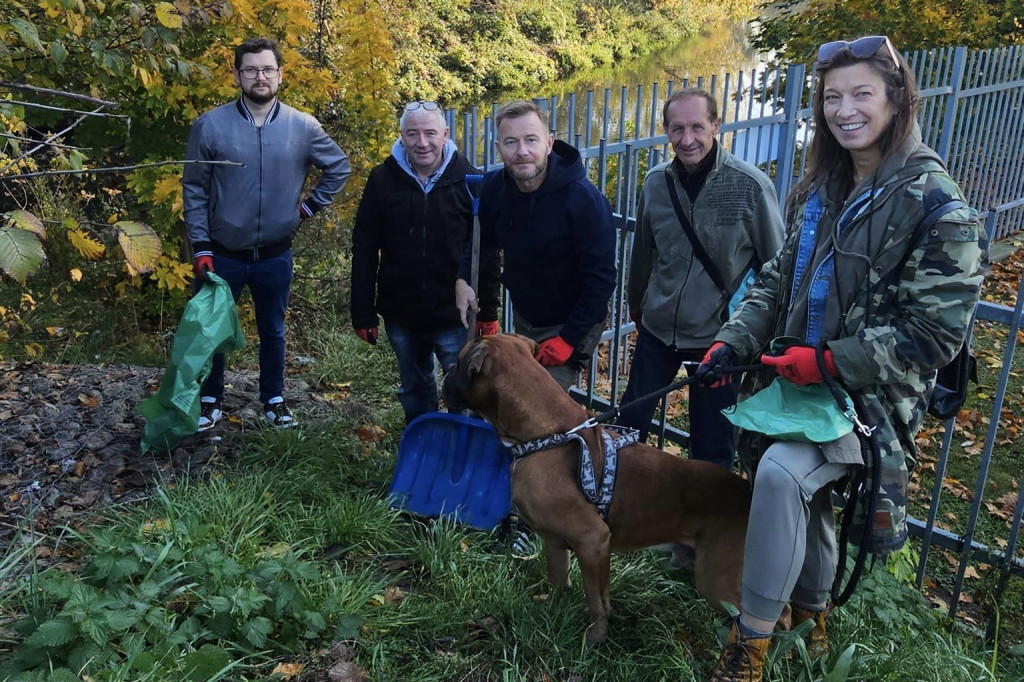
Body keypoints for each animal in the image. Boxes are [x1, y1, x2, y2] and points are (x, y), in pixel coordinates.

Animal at [444, 331, 757, 638]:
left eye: (458, 361)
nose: (445, 372)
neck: (549, 437)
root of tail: (749, 495)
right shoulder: (554, 541)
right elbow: (559, 579)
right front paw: (553, 613)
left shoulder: (593, 541)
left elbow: (596, 599)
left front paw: (594, 637)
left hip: (717, 581)